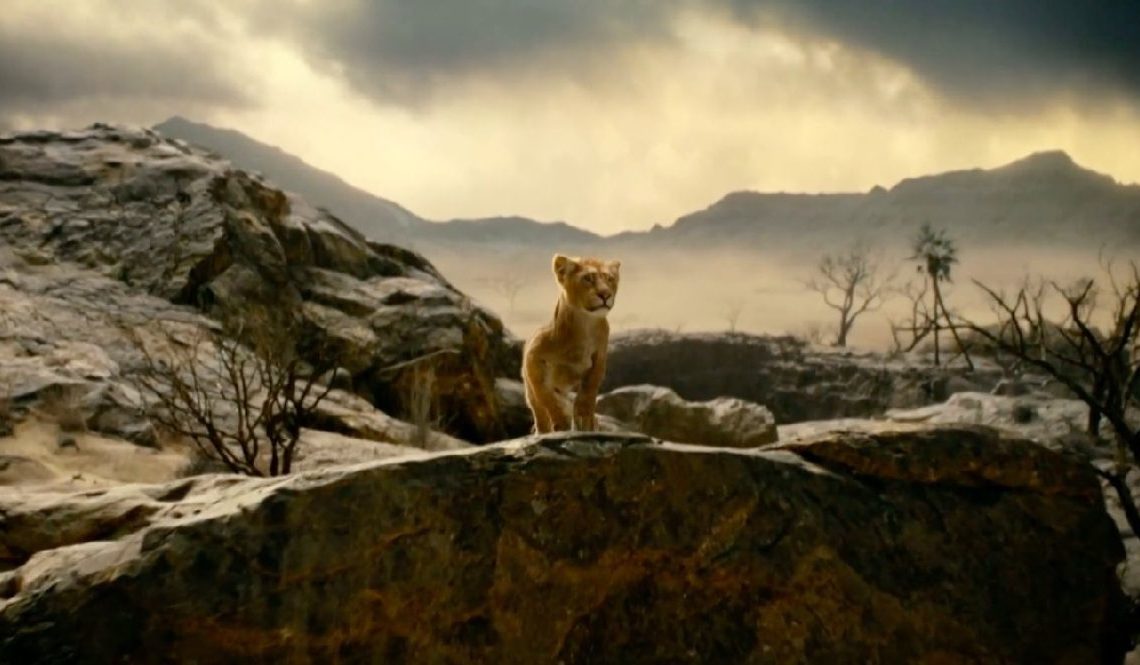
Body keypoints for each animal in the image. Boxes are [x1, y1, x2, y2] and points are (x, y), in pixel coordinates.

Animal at [522, 254, 621, 433]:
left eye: (610, 279)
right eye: (587, 278)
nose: (605, 295)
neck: (584, 325)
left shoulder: (599, 357)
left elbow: (589, 390)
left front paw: (585, 419)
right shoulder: (532, 357)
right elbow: (546, 396)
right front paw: (561, 421)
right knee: (539, 412)